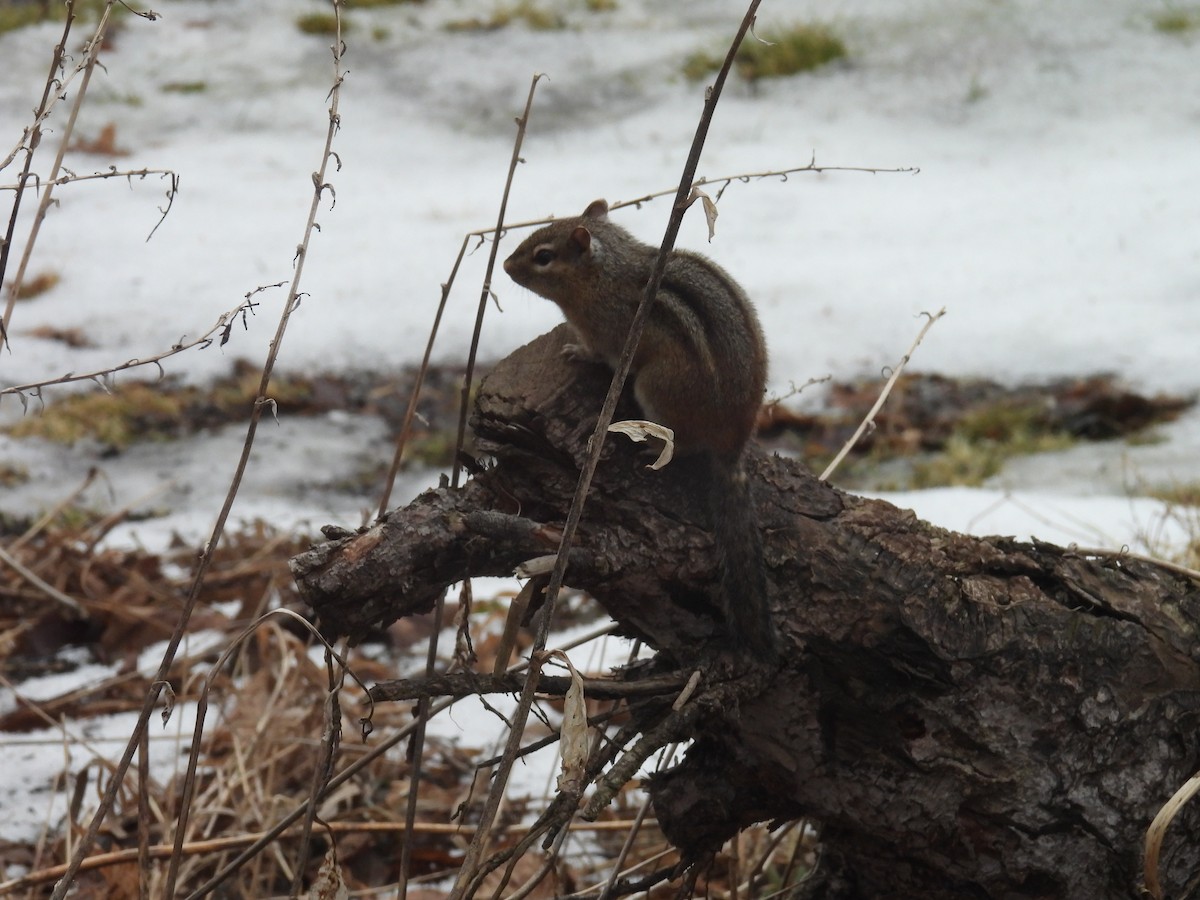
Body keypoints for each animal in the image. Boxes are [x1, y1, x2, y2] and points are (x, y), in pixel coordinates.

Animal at [502, 199, 779, 661]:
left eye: (543, 256)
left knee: (684, 446)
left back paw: (651, 449)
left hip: (654, 389)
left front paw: (576, 351)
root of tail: (733, 444)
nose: (505, 265)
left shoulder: (609, 334)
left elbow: (599, 354)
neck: (606, 275)